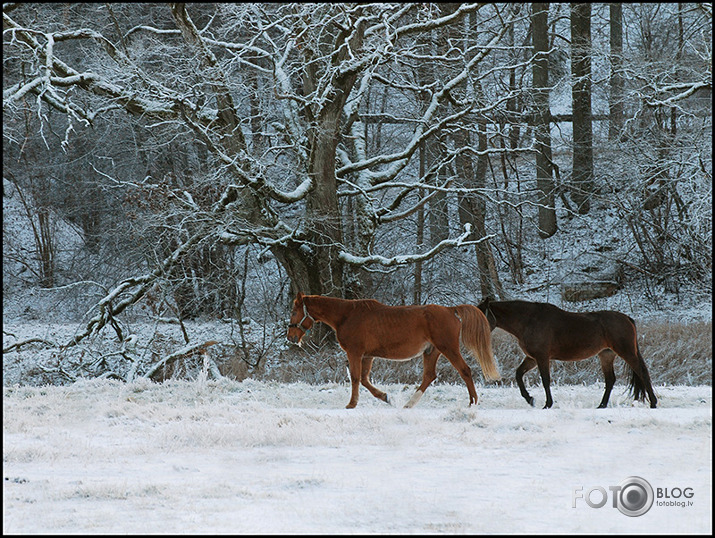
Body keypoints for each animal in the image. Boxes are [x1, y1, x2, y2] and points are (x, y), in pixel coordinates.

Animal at [288, 294, 500, 406]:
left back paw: (473, 402)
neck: (346, 316)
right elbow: (364, 379)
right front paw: (384, 397)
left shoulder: (355, 353)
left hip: (448, 348)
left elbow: (355, 378)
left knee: (465, 371)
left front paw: (351, 404)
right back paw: (409, 404)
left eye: (294, 311)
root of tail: (451, 310)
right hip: (431, 351)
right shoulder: (368, 356)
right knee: (429, 376)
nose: (290, 337)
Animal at [478, 298, 656, 406]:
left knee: (642, 373)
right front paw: (529, 399)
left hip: (626, 352)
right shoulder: (532, 358)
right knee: (610, 380)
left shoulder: (542, 357)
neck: (529, 321)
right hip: (606, 355)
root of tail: (627, 318)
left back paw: (653, 402)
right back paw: (601, 406)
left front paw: (547, 404)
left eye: (480, 314)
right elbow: (518, 374)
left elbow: (545, 380)